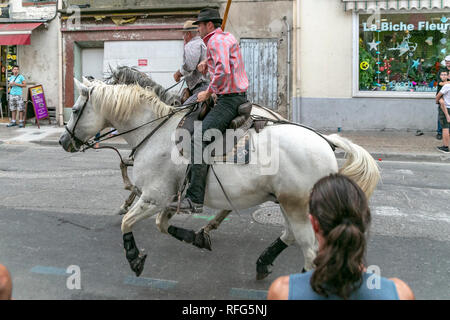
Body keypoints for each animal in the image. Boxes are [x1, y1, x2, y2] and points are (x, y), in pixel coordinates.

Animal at [58, 79, 378, 278]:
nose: (63, 140)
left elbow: (128, 222)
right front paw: (198, 238)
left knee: (309, 251)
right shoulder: (169, 200)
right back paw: (262, 263)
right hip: (289, 204)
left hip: (296, 206)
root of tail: (325, 141)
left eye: (75, 109)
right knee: (290, 237)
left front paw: (134, 258)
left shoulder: (153, 197)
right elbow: (163, 225)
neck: (155, 131)